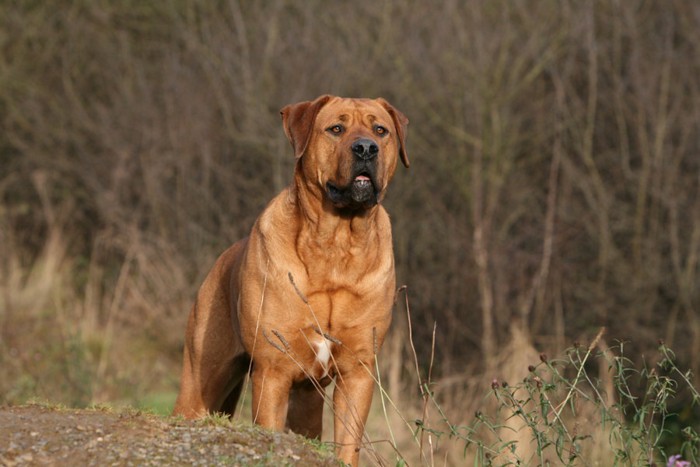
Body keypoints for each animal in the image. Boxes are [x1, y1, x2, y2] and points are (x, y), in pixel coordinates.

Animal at [172, 95, 408, 467]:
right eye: (336, 128)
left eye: (380, 130)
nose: (366, 148)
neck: (336, 244)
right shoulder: (273, 370)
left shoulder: (357, 372)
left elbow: (348, 443)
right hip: (200, 378)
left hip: (307, 401)